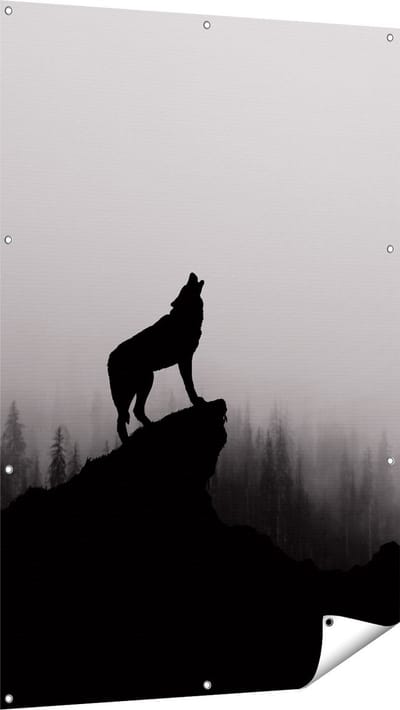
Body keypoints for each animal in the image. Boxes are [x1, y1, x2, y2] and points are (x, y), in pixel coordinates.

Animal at [108, 272, 206, 442]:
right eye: (185, 286)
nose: (191, 273)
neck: (184, 317)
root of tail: (109, 359)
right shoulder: (185, 359)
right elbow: (189, 385)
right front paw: (196, 401)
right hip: (142, 383)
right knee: (126, 417)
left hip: (138, 386)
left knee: (129, 415)